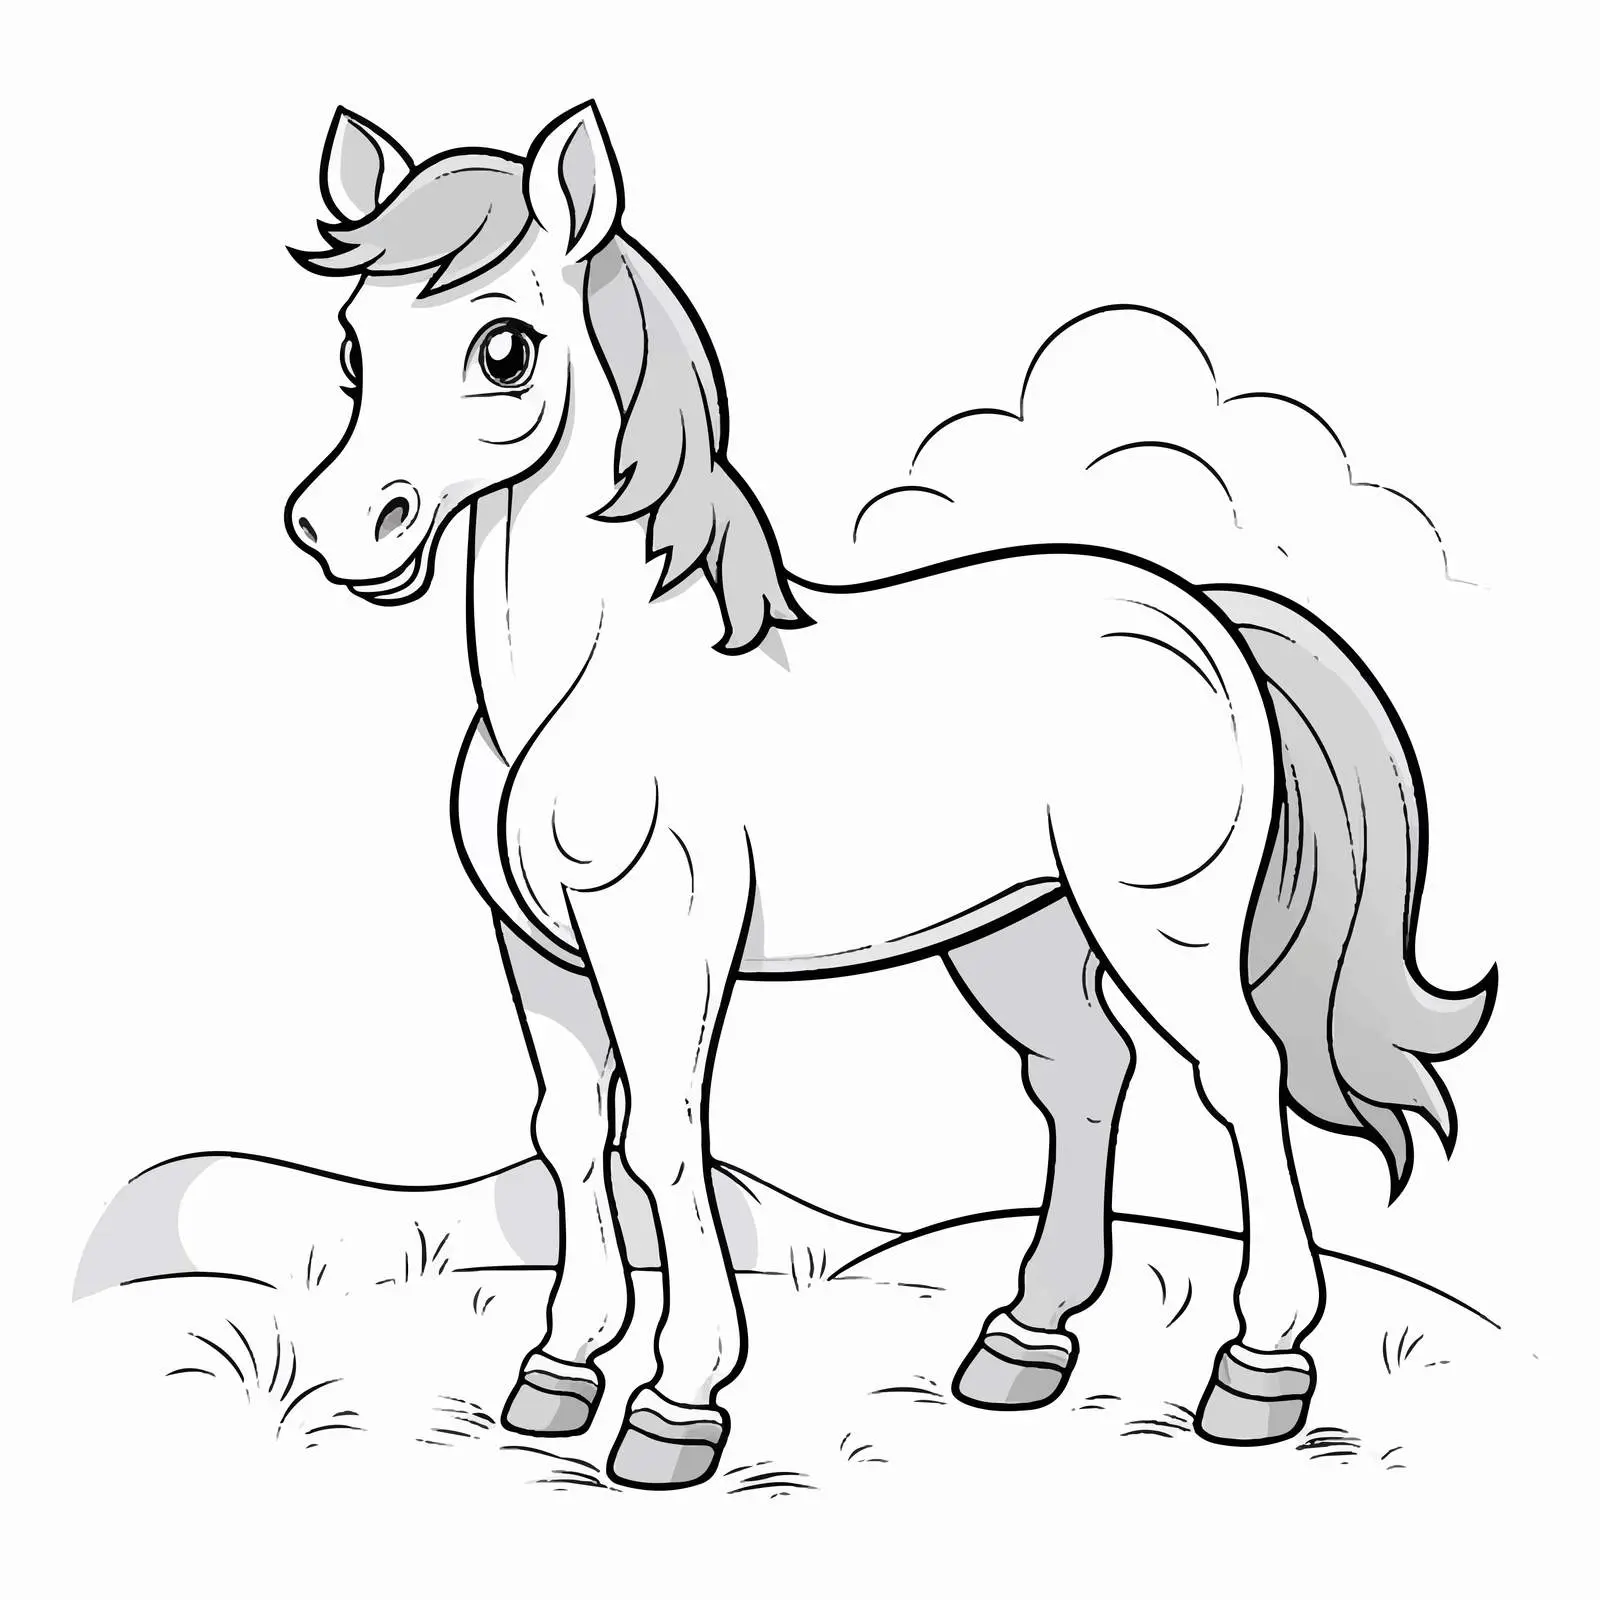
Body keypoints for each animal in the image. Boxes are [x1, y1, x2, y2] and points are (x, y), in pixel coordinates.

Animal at [283, 103, 1495, 1489]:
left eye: (504, 348)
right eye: (351, 346)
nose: (342, 530)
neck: (590, 675)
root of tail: (1197, 612)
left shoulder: (663, 938)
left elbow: (664, 1138)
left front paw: (676, 1402)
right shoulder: (540, 946)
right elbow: (570, 1133)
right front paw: (561, 1370)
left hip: (1161, 924)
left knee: (1238, 1073)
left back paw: (1257, 1369)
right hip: (1022, 933)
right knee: (1085, 1075)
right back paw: (1022, 1345)